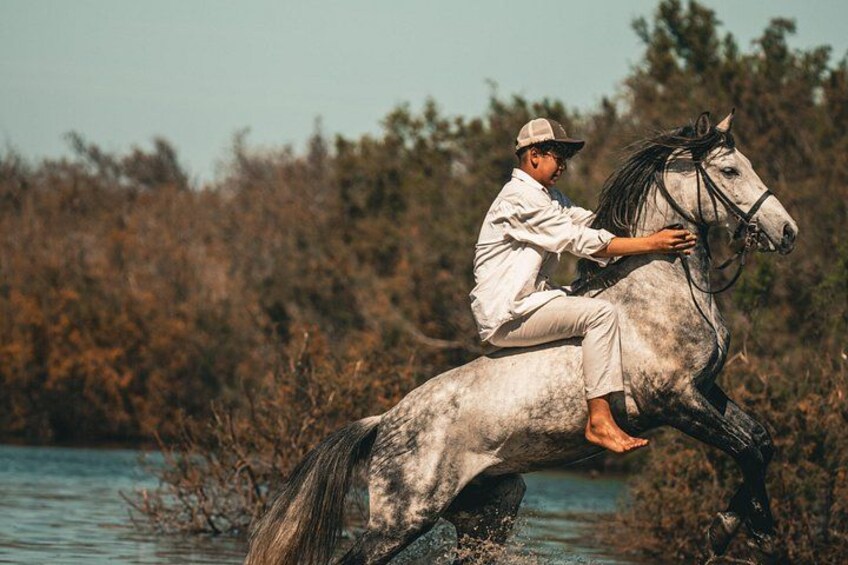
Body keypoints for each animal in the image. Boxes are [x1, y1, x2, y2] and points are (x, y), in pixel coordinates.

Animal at [244, 111, 798, 565]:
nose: (787, 231)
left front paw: (740, 527)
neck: (664, 291)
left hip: (490, 508)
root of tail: (382, 423)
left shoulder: (704, 391)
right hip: (402, 520)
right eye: (730, 171)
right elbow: (746, 450)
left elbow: (760, 441)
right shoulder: (675, 402)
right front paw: (746, 532)